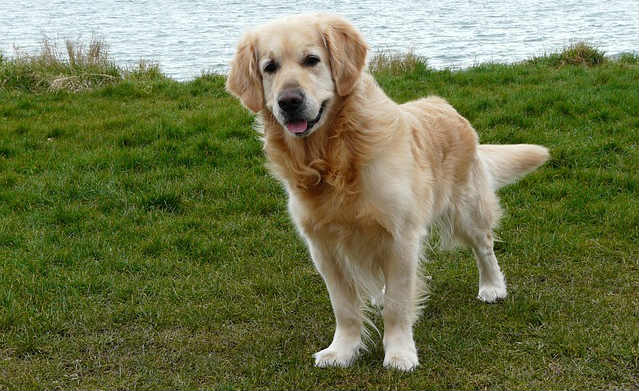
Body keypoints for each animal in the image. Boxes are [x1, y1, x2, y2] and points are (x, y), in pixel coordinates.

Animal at [225, 13, 552, 372]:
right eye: (270, 67)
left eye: (311, 60)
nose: (289, 101)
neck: (334, 157)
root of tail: (445, 105)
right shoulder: (323, 247)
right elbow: (344, 307)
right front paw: (342, 350)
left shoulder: (401, 237)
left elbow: (398, 305)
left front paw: (399, 353)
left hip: (467, 209)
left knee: (485, 246)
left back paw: (492, 286)